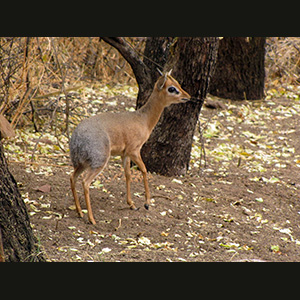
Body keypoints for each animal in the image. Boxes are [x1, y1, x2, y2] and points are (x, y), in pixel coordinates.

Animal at [69, 70, 191, 224]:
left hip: (81, 164)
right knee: (85, 182)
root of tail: (76, 137)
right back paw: (91, 219)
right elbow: (144, 170)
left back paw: (79, 212)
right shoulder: (134, 150)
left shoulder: (125, 154)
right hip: (98, 162)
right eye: (172, 88)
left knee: (72, 177)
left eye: (178, 83)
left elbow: (127, 175)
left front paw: (131, 204)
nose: (188, 96)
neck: (143, 120)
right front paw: (147, 203)